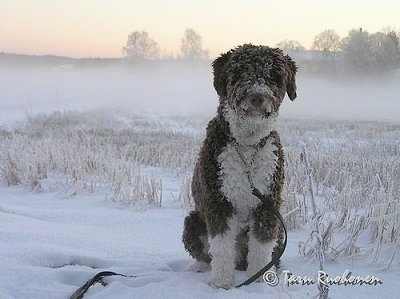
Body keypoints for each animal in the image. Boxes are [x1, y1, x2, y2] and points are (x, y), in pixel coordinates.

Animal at [181, 44, 296, 288]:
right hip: (193, 221)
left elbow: (261, 247)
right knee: (205, 255)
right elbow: (222, 247)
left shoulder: (267, 203)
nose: (257, 97)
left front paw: (260, 280)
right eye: (240, 72)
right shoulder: (219, 202)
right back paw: (199, 268)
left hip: (280, 231)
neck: (247, 145)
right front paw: (221, 283)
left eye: (274, 76)